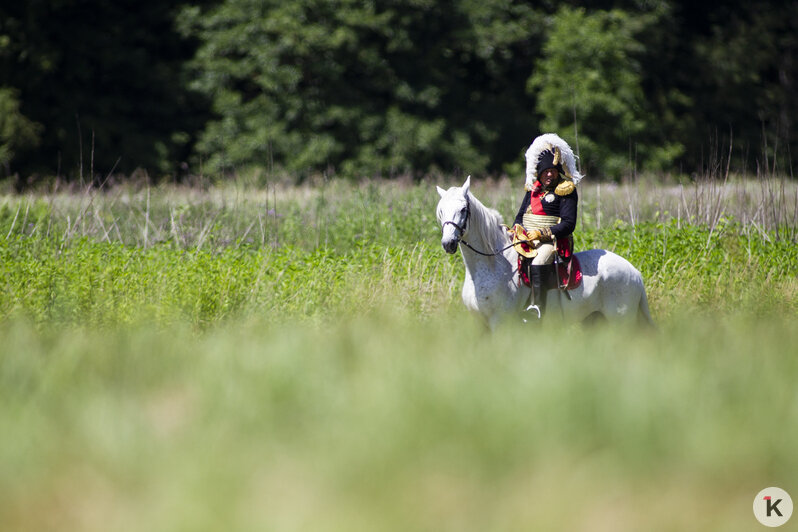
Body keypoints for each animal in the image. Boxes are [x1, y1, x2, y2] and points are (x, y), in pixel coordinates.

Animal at [438, 177, 656, 330]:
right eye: (440, 211)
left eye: (463, 209)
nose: (448, 243)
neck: (493, 265)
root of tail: (635, 272)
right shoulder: (480, 325)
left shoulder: (500, 323)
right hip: (594, 322)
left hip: (620, 322)